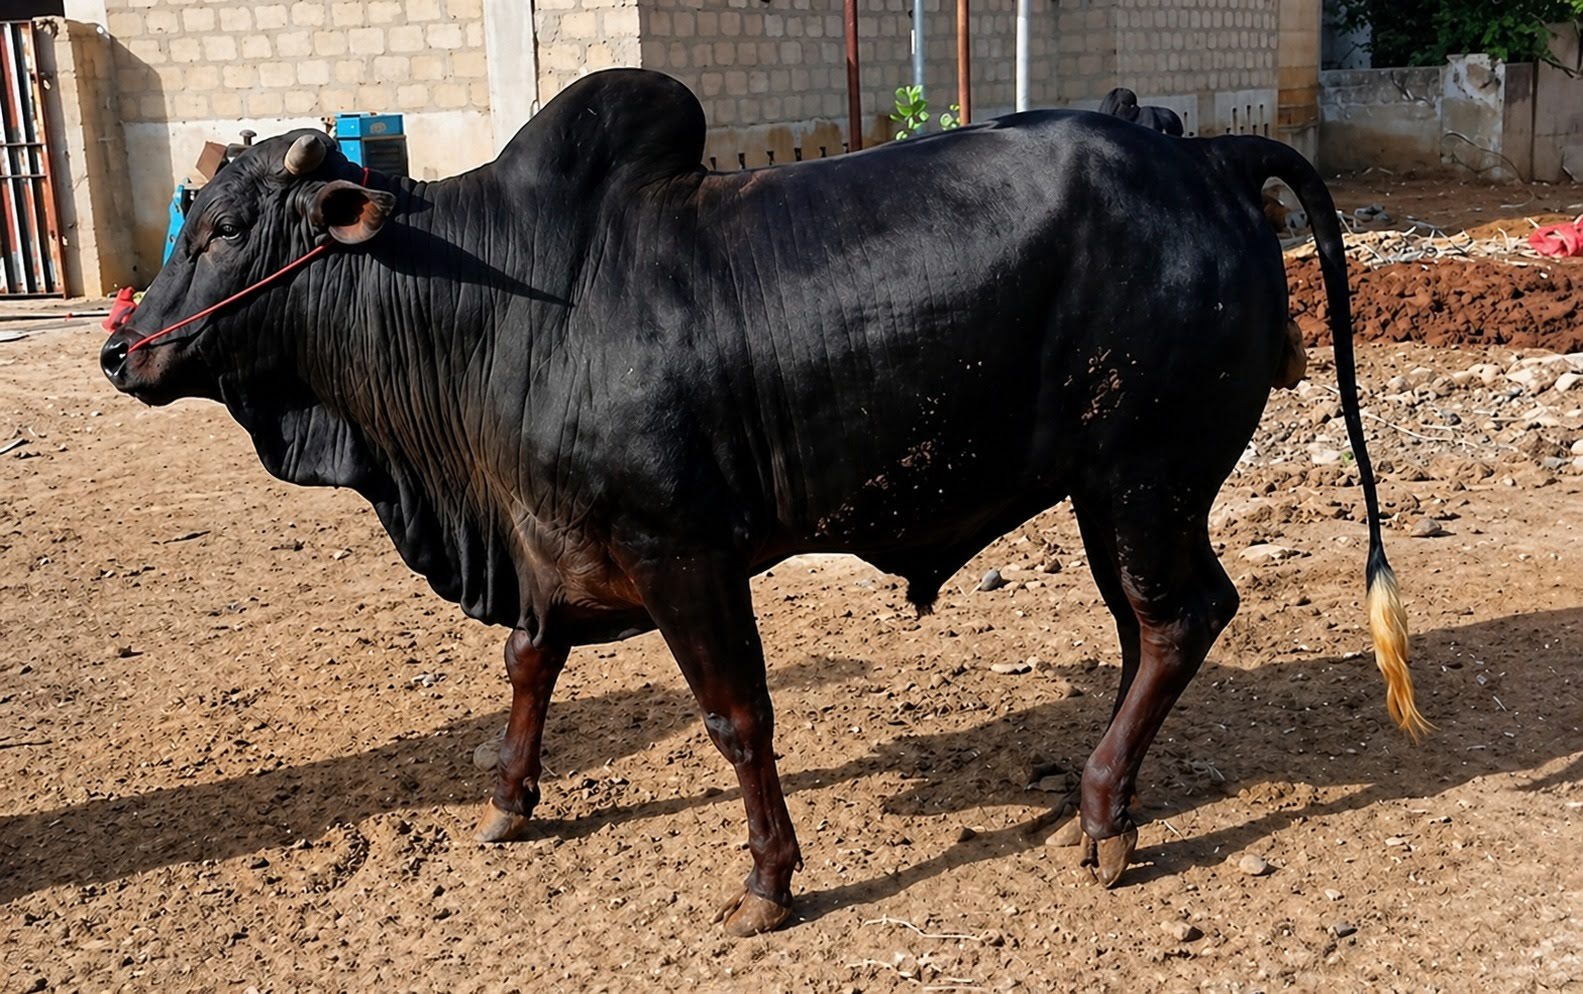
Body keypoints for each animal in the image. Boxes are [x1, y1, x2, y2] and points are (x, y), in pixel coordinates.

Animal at [100, 68, 1427, 937]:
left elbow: (736, 720)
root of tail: (1208, 153)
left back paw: (1103, 810)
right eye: (187, 218)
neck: (502, 301)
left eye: (224, 228)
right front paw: (509, 800)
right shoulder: (556, 546)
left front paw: (766, 882)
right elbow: (528, 660)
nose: (121, 352)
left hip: (1143, 476)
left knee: (1176, 617)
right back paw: (1105, 796)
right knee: (1145, 628)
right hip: (1115, 494)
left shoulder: (681, 554)